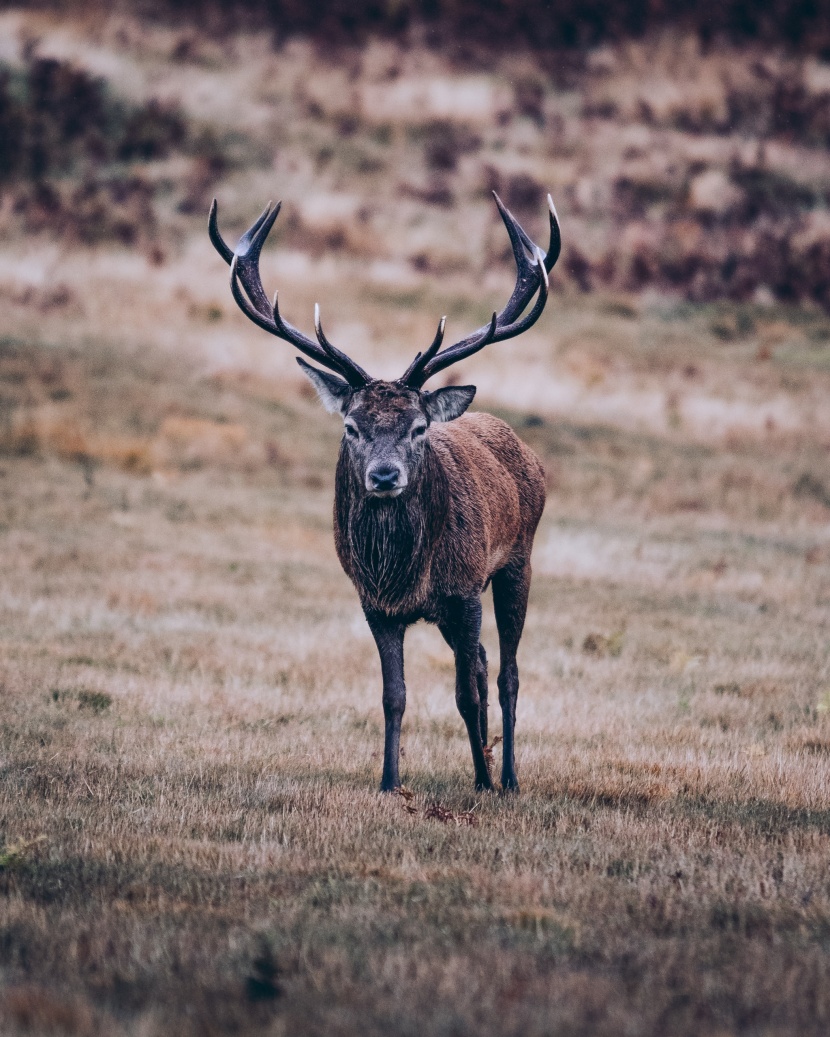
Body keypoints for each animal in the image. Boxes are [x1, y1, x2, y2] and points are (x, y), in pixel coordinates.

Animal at [207, 192, 560, 792]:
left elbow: (467, 692)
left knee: (506, 673)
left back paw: (507, 777)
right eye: (352, 425)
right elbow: (394, 695)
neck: (403, 572)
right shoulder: (375, 604)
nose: (385, 476)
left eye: (418, 427)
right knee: (484, 662)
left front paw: (483, 782)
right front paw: (390, 781)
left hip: (518, 561)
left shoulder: (464, 589)